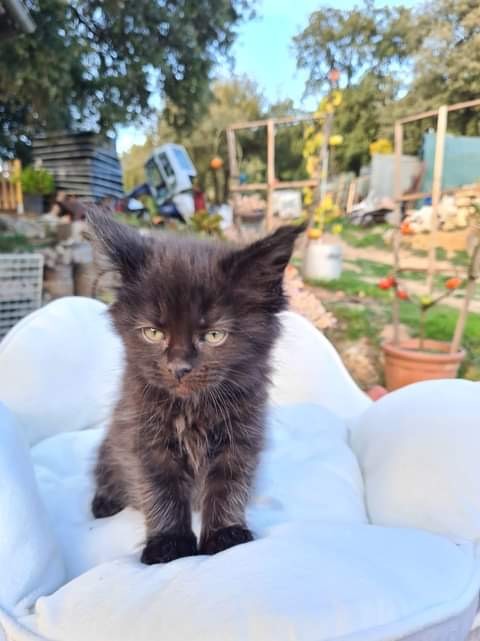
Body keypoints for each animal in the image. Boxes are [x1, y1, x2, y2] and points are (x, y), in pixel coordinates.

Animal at [88, 210, 304, 564]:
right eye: (153, 333)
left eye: (214, 335)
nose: (178, 368)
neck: (193, 410)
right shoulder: (145, 438)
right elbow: (161, 491)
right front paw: (169, 544)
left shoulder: (241, 437)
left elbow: (228, 486)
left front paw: (225, 535)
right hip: (111, 443)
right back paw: (105, 501)